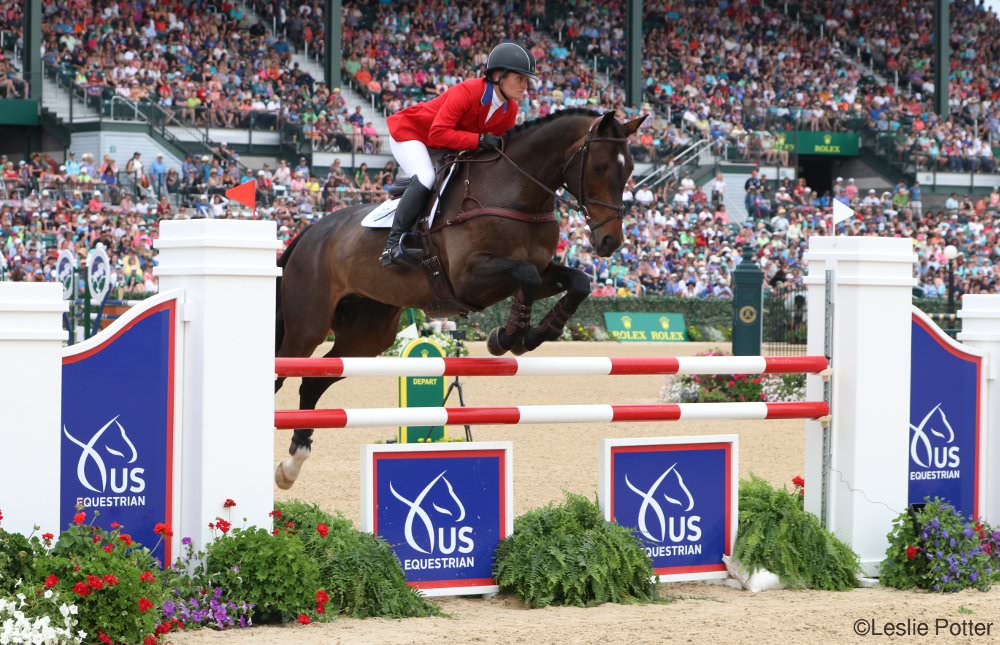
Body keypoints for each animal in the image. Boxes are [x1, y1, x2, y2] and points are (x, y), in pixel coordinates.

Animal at [274, 108, 648, 486]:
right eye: (599, 166)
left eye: (630, 168)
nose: (609, 241)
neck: (517, 192)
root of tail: (310, 231)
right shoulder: (469, 277)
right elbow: (525, 275)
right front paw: (508, 337)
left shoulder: (538, 272)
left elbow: (577, 282)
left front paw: (535, 333)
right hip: (307, 328)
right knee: (284, 370)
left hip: (367, 337)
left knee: (313, 382)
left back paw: (292, 464)